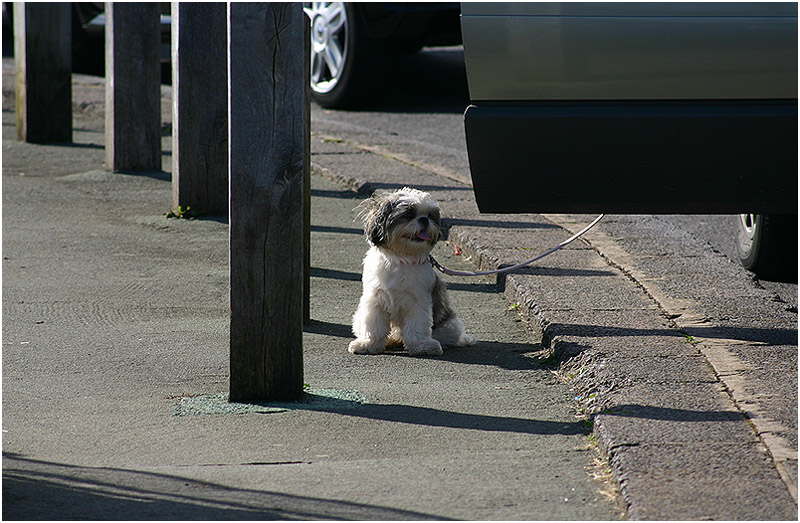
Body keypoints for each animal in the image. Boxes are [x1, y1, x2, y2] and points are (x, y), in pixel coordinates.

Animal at [348, 187, 476, 356]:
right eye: (408, 214)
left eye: (430, 215)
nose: (424, 220)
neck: (402, 258)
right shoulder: (375, 299)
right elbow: (373, 325)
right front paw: (367, 344)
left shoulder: (418, 300)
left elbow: (417, 325)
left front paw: (422, 346)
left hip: (449, 326)